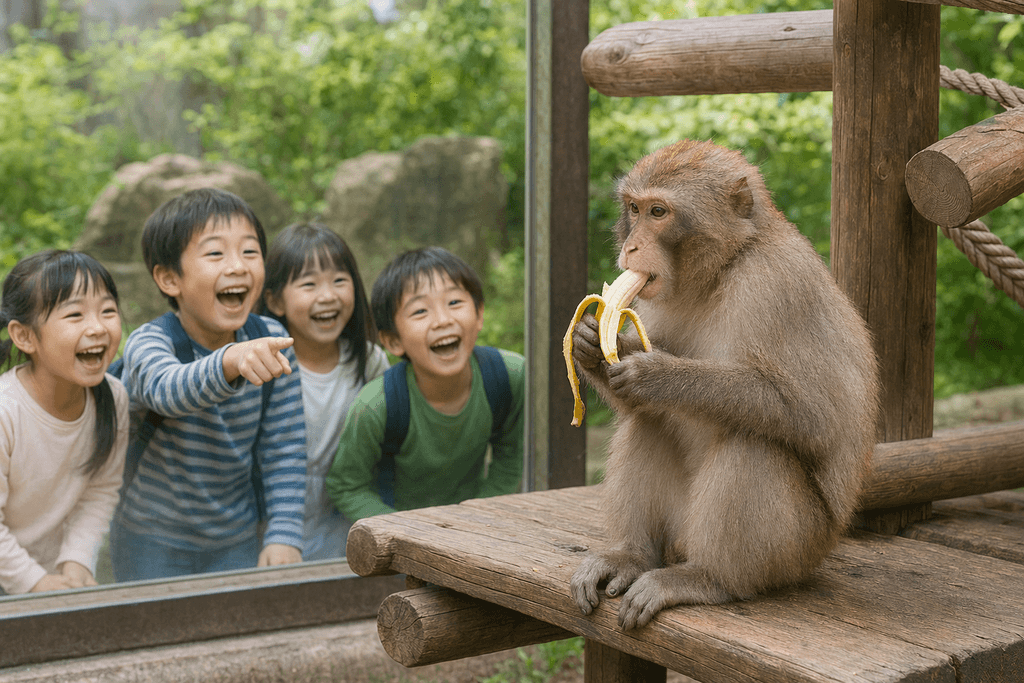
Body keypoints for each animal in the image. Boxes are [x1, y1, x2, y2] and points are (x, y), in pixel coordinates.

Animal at [568, 139, 879, 630]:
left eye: (659, 212)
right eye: (634, 209)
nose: (631, 246)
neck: (720, 270)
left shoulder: (777, 284)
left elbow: (816, 416)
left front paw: (657, 375)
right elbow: (638, 407)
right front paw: (592, 344)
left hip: (798, 548)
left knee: (753, 442)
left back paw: (708, 578)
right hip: (682, 528)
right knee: (647, 425)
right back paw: (633, 556)